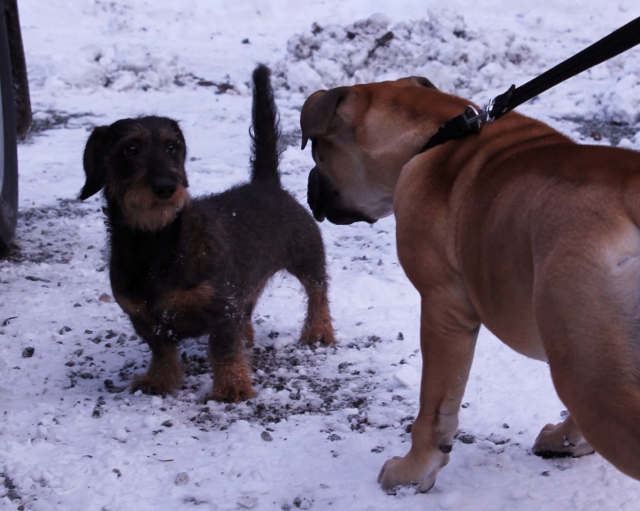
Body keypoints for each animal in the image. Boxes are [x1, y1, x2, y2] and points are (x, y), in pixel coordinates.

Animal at [79, 65, 335, 403]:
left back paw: (318, 331)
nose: (167, 187)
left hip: (307, 256)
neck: (155, 242)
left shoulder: (221, 308)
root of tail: (266, 183)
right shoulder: (143, 317)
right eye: (130, 149)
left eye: (172, 147)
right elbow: (162, 351)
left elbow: (223, 349)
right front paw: (160, 380)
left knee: (318, 293)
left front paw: (232, 386)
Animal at [300, 76, 640, 491]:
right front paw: (567, 439)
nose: (308, 189)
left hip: (593, 376)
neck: (435, 134)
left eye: (317, 153)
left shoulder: (442, 310)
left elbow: (434, 409)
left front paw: (413, 470)